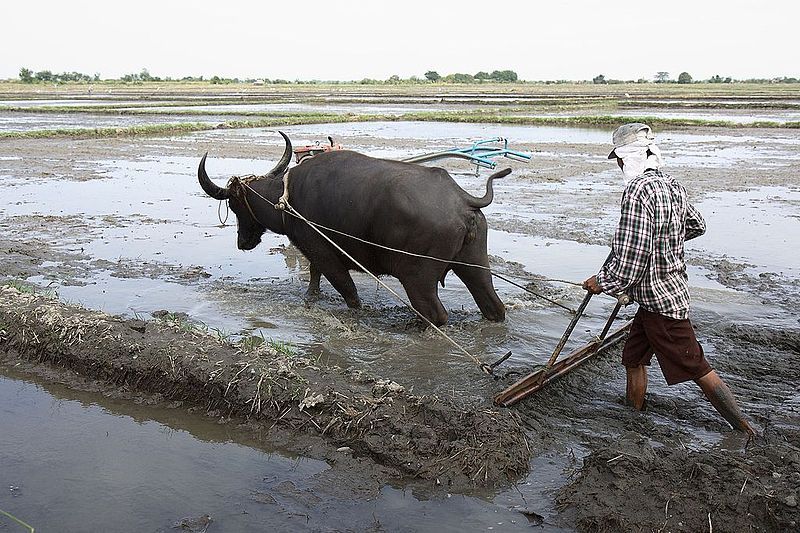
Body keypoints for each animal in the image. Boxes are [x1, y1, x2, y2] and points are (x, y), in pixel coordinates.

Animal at [198, 132, 510, 324]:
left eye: (235, 205)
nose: (242, 242)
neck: (288, 196)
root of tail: (461, 199)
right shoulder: (316, 254)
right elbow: (313, 277)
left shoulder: (327, 256)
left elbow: (349, 294)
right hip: (475, 265)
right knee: (493, 305)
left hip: (417, 278)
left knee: (435, 315)